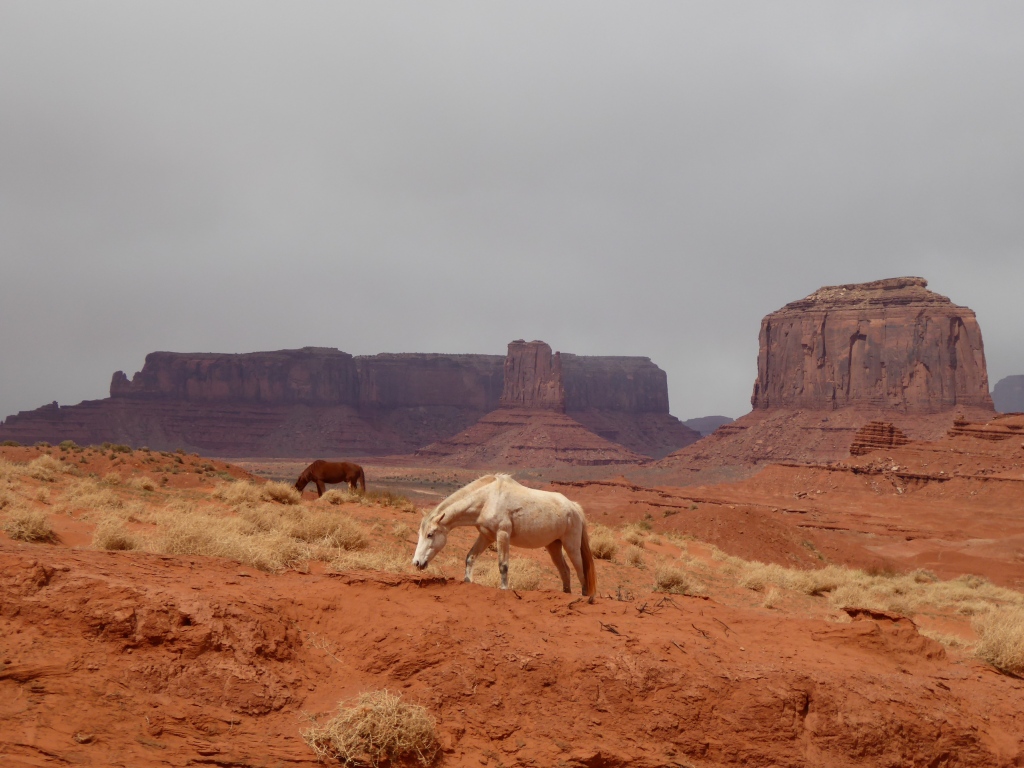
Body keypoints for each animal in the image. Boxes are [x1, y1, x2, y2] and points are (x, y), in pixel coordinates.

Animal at [412, 474, 597, 600]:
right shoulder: (486, 536)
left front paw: (503, 589)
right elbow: (470, 557)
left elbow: (503, 565)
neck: (487, 499)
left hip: (571, 545)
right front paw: (467, 581)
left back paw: (584, 596)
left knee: (580, 570)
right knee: (565, 570)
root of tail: (574, 506)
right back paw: (566, 594)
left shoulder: (502, 535)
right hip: (553, 546)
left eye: (430, 534)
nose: (417, 563)